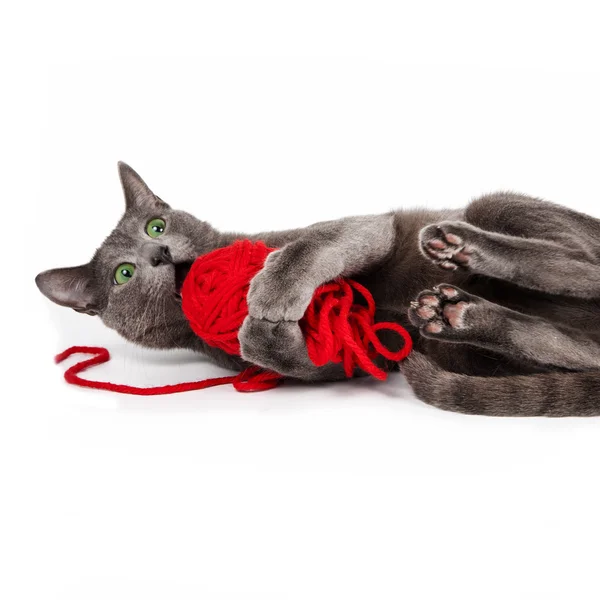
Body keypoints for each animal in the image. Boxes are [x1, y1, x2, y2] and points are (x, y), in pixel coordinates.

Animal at [36, 164, 600, 418]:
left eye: (156, 226)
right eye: (123, 275)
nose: (158, 255)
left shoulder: (363, 228)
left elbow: (316, 244)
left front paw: (272, 289)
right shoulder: (327, 366)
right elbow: (282, 353)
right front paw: (261, 329)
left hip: (500, 207)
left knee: (583, 267)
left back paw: (459, 245)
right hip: (457, 353)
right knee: (578, 347)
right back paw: (453, 311)